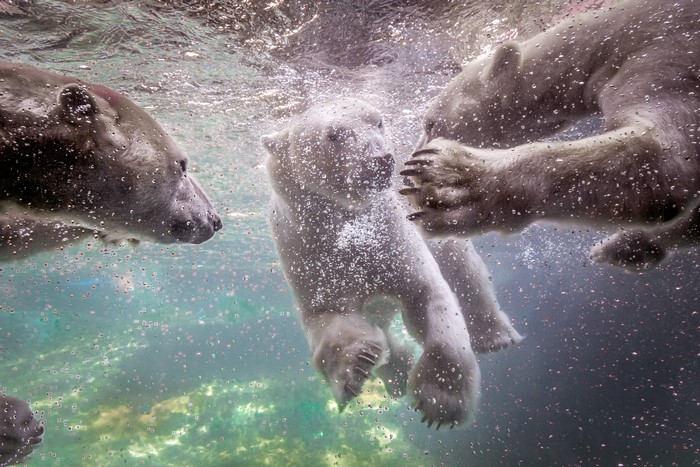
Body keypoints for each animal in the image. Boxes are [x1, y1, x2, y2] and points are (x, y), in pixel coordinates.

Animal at [263, 98, 522, 428]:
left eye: (378, 121)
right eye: (333, 135)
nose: (381, 160)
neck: (347, 225)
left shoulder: (392, 234)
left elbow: (427, 296)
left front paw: (442, 400)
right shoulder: (307, 249)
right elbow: (329, 316)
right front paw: (355, 368)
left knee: (462, 266)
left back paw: (494, 336)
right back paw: (396, 372)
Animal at [399, 0, 700, 267]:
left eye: (430, 124)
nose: (411, 155)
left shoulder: (663, 50)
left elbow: (662, 156)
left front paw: (449, 179)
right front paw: (623, 247)